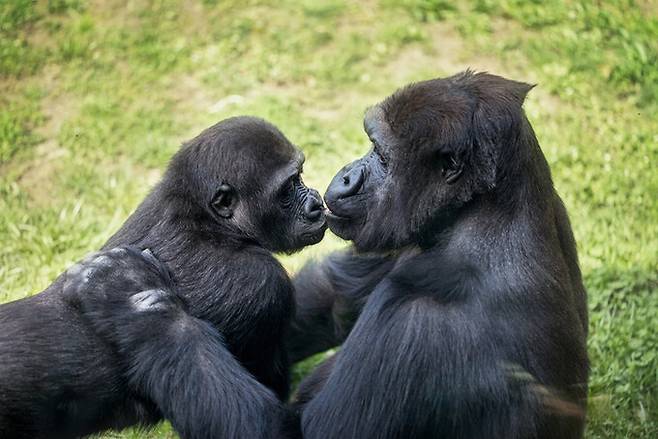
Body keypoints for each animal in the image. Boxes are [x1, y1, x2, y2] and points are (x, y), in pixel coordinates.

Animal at [290, 72, 588, 439]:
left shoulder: (414, 320)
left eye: (382, 156)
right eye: (371, 146)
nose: (347, 176)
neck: (479, 210)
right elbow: (333, 296)